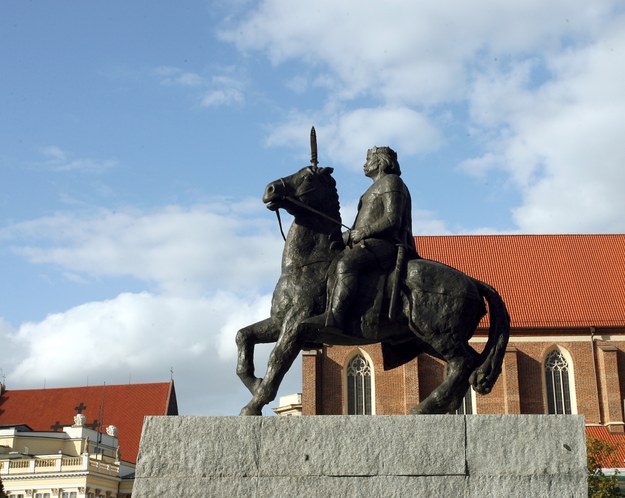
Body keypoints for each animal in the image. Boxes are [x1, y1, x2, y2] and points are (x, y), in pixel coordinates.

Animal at [236, 164, 510, 416]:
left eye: (307, 177)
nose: (270, 189)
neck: (309, 263)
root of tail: (473, 281)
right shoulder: (278, 321)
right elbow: (243, 337)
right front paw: (253, 382)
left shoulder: (295, 324)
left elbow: (277, 361)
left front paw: (254, 404)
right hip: (427, 339)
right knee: (468, 364)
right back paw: (437, 406)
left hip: (438, 333)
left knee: (463, 363)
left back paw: (424, 407)